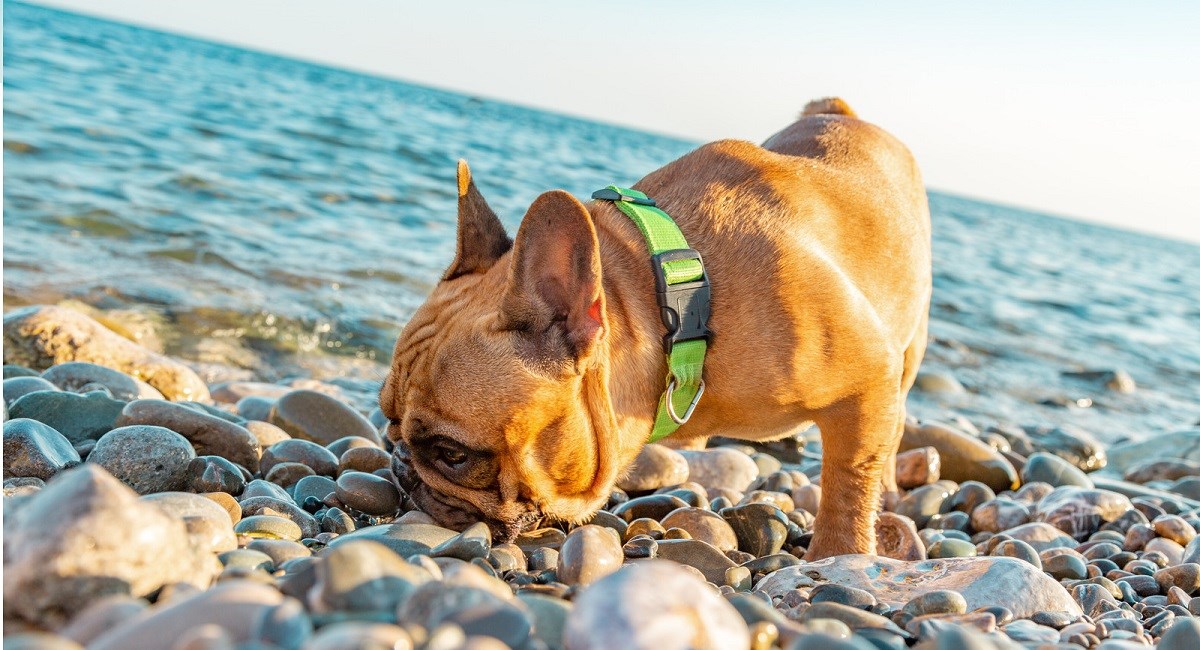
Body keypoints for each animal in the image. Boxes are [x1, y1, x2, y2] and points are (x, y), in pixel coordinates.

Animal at [379, 98, 931, 561]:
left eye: (453, 454)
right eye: (385, 417)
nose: (399, 465)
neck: (675, 314)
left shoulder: (869, 381)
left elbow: (850, 479)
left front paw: (840, 554)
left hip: (909, 349)